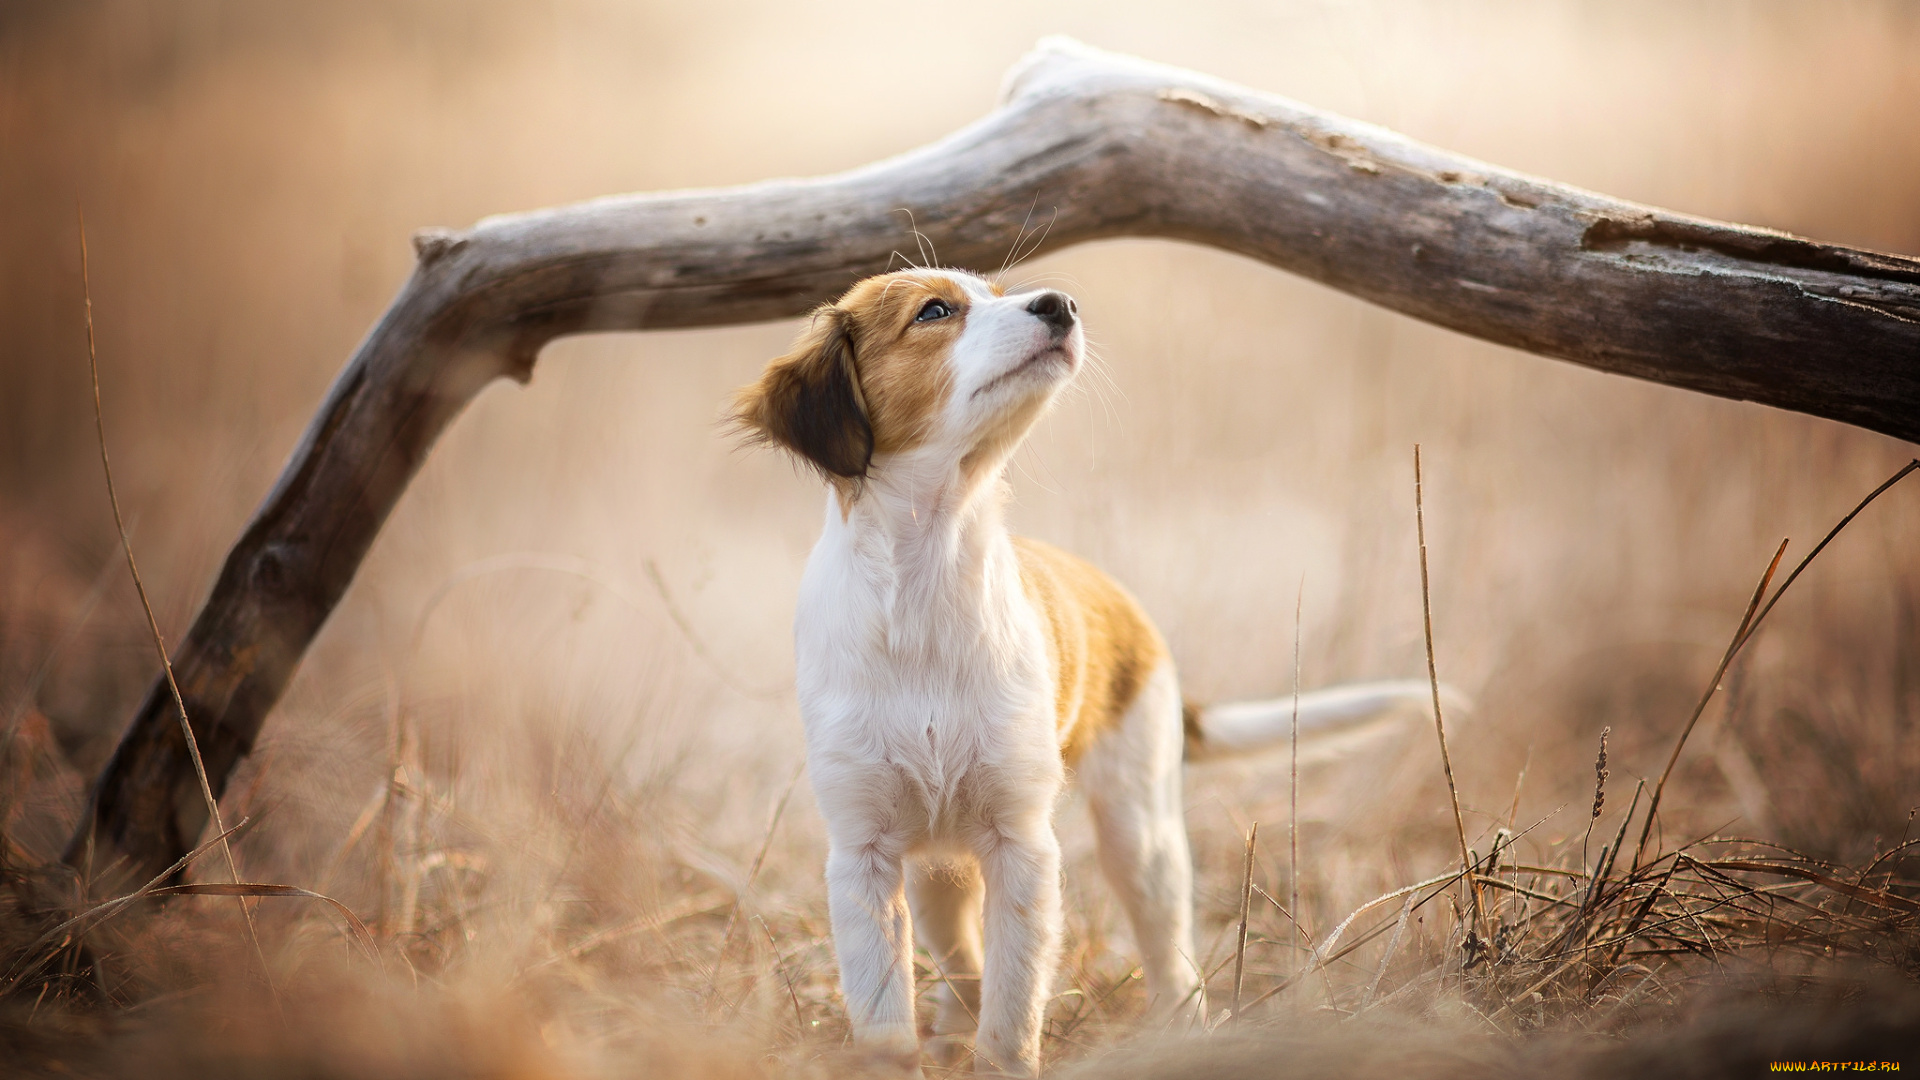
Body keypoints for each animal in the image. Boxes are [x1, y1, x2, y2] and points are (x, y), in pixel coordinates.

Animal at [729, 267, 1443, 1068]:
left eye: (999, 291)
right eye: (934, 311)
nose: (1060, 304)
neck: (926, 584)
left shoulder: (1021, 844)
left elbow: (1012, 1015)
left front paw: (1000, 1060)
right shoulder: (864, 854)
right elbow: (889, 1022)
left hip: (1142, 833)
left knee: (1170, 957)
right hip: (938, 865)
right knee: (962, 959)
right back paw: (952, 1027)